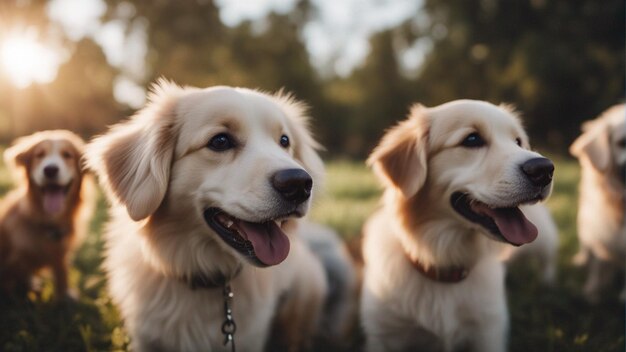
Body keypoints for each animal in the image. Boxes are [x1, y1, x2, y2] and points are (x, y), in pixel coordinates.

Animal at [0, 131, 94, 298]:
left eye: (67, 155)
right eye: (39, 155)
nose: (50, 170)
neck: (49, 223)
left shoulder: (60, 255)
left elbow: (62, 273)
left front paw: (65, 296)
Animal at [358, 99, 552, 352]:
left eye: (518, 141)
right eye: (472, 139)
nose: (545, 169)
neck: (442, 262)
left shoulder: (488, 333)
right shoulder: (384, 334)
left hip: (543, 239)